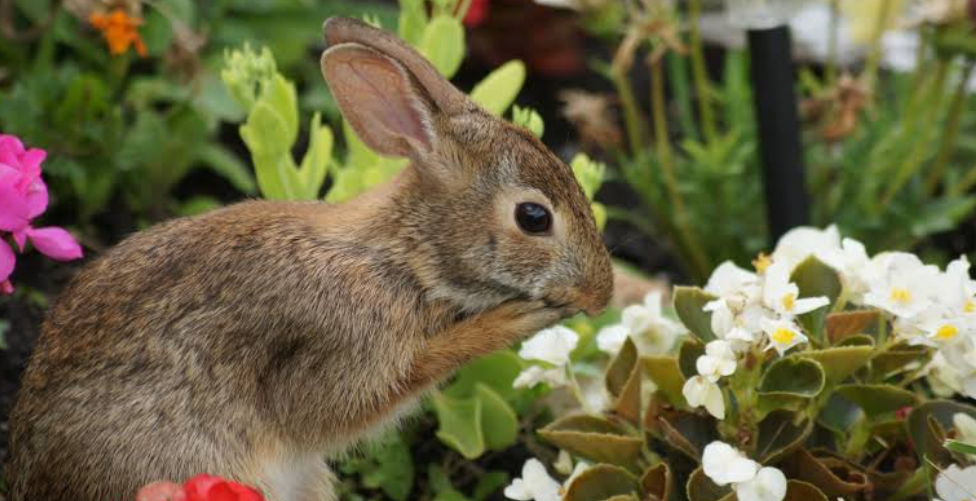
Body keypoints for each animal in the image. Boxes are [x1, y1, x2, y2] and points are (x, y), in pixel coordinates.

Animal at [6, 17, 613, 501]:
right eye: (533, 217)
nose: (602, 292)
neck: (403, 258)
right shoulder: (340, 348)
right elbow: (394, 378)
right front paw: (511, 321)